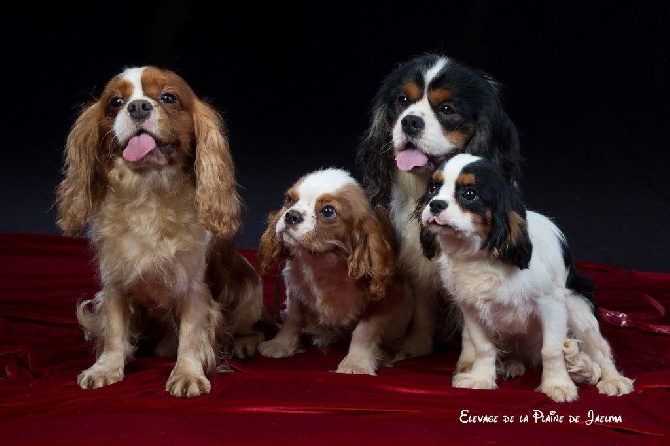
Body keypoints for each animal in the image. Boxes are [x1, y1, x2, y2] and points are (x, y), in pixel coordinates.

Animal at [55, 65, 266, 398]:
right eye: (115, 102)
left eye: (168, 97)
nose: (138, 106)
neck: (149, 190)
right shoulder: (115, 281)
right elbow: (114, 330)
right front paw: (106, 368)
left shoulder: (194, 286)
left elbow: (191, 334)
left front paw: (187, 374)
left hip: (249, 290)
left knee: (252, 327)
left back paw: (243, 343)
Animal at [258, 167, 414, 372]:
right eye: (289, 200)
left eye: (327, 211)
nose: (291, 215)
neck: (323, 260)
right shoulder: (296, 286)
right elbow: (293, 319)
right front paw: (281, 345)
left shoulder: (387, 298)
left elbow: (364, 331)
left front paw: (356, 363)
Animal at [356, 52, 524, 360]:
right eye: (402, 101)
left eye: (447, 109)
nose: (409, 121)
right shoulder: (421, 262)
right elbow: (424, 308)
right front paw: (416, 346)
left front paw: (470, 361)